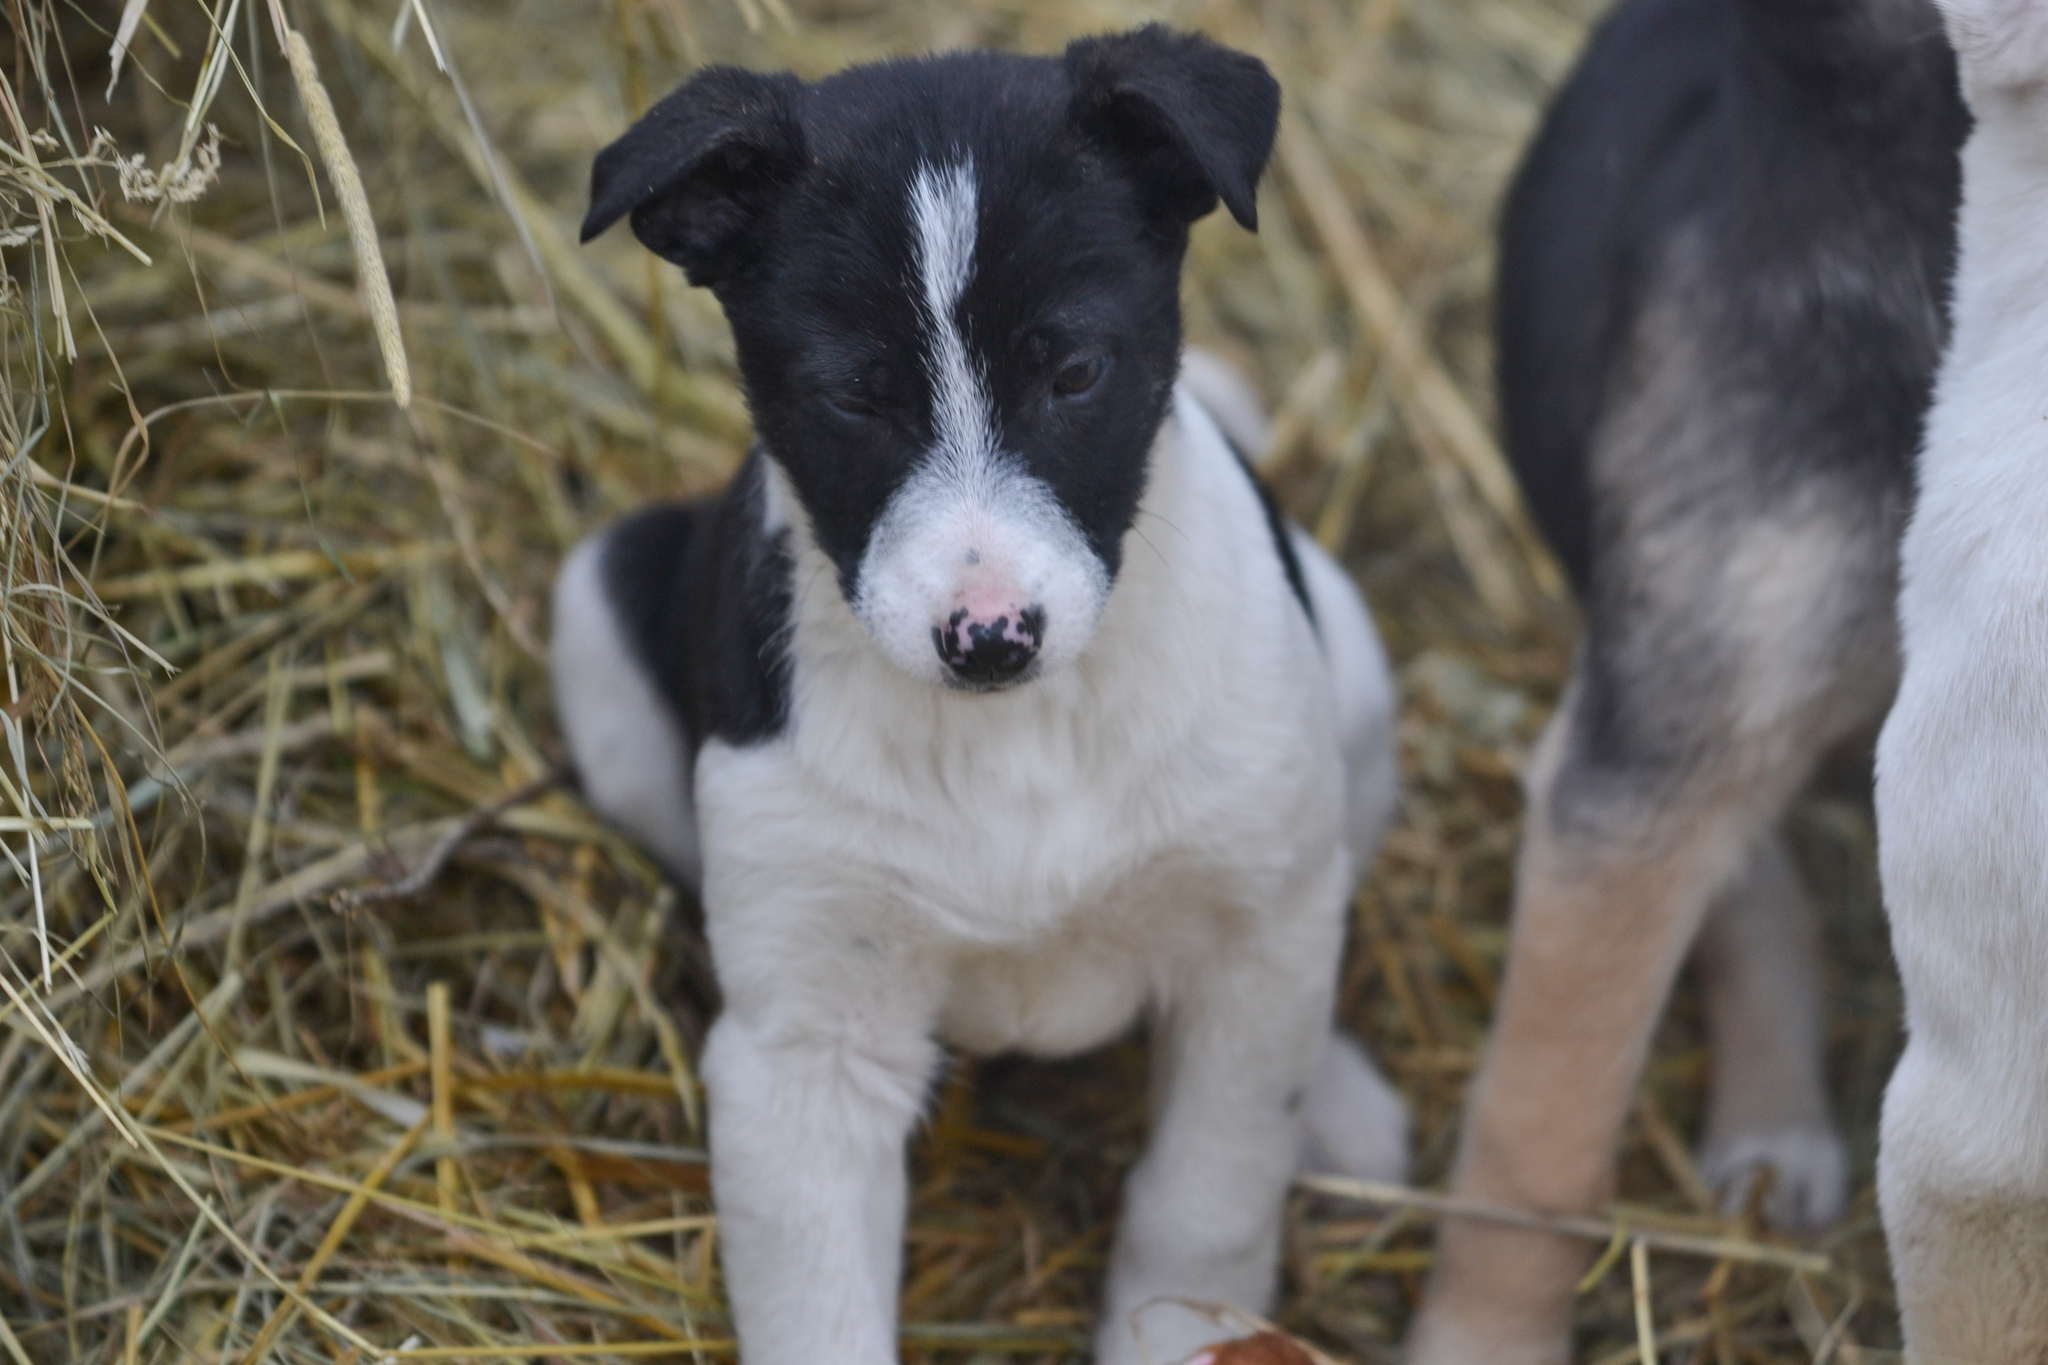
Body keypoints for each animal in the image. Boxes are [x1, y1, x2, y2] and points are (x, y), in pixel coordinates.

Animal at [557, 31, 1409, 1365]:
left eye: (1076, 372)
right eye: (853, 396)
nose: (989, 639)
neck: (1019, 735)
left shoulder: (1244, 945)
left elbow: (1205, 1200)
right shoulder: (807, 1046)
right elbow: (817, 1315)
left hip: (1346, 702)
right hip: (597, 618)